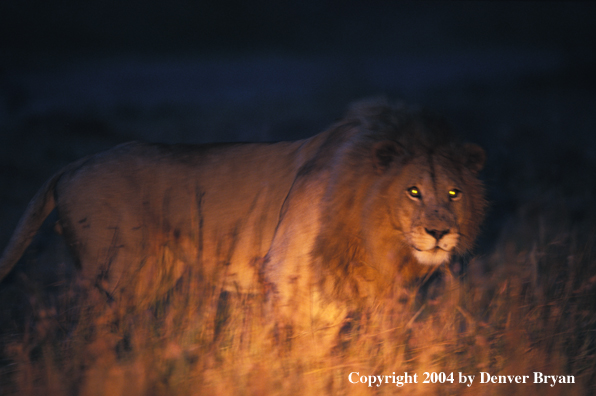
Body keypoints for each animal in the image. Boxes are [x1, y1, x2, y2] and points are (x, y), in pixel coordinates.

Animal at [0, 100, 484, 346]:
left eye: (454, 193)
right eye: (413, 191)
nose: (439, 233)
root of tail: (73, 164)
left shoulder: (339, 299)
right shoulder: (282, 275)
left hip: (150, 277)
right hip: (115, 277)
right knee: (78, 332)